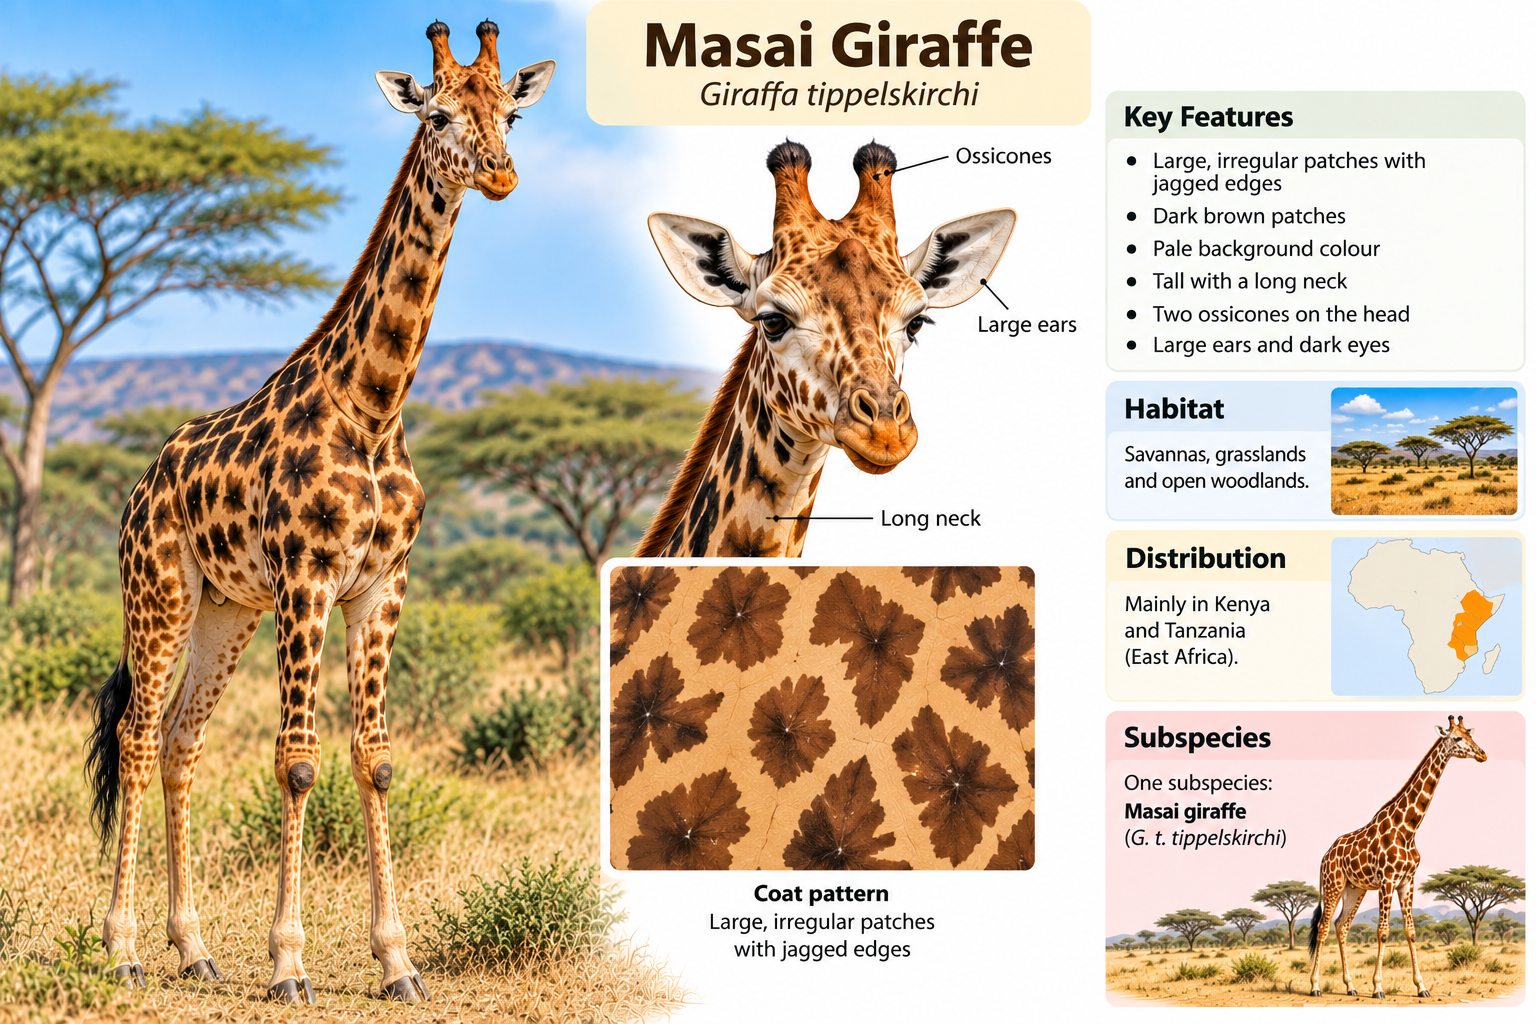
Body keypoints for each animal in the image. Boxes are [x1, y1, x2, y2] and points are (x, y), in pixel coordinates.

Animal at [82, 21, 553, 1004]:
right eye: (438, 113)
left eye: (514, 112)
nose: (499, 174)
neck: (372, 407)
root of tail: (140, 486)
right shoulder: (307, 579)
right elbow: (297, 761)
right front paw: (290, 963)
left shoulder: (381, 586)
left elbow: (375, 758)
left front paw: (398, 963)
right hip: (160, 592)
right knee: (139, 738)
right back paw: (124, 949)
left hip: (226, 609)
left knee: (181, 741)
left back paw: (195, 949)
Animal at [1306, 715, 1487, 999]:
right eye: (1457, 737)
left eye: (1470, 733)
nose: (1482, 754)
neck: (1409, 828)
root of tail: (1325, 856)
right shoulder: (1387, 880)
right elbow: (1383, 932)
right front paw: (1378, 987)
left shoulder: (1406, 881)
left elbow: (1411, 932)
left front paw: (1422, 987)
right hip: (1332, 883)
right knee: (1323, 927)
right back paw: (1314, 986)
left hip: (1354, 888)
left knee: (1341, 926)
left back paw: (1350, 986)